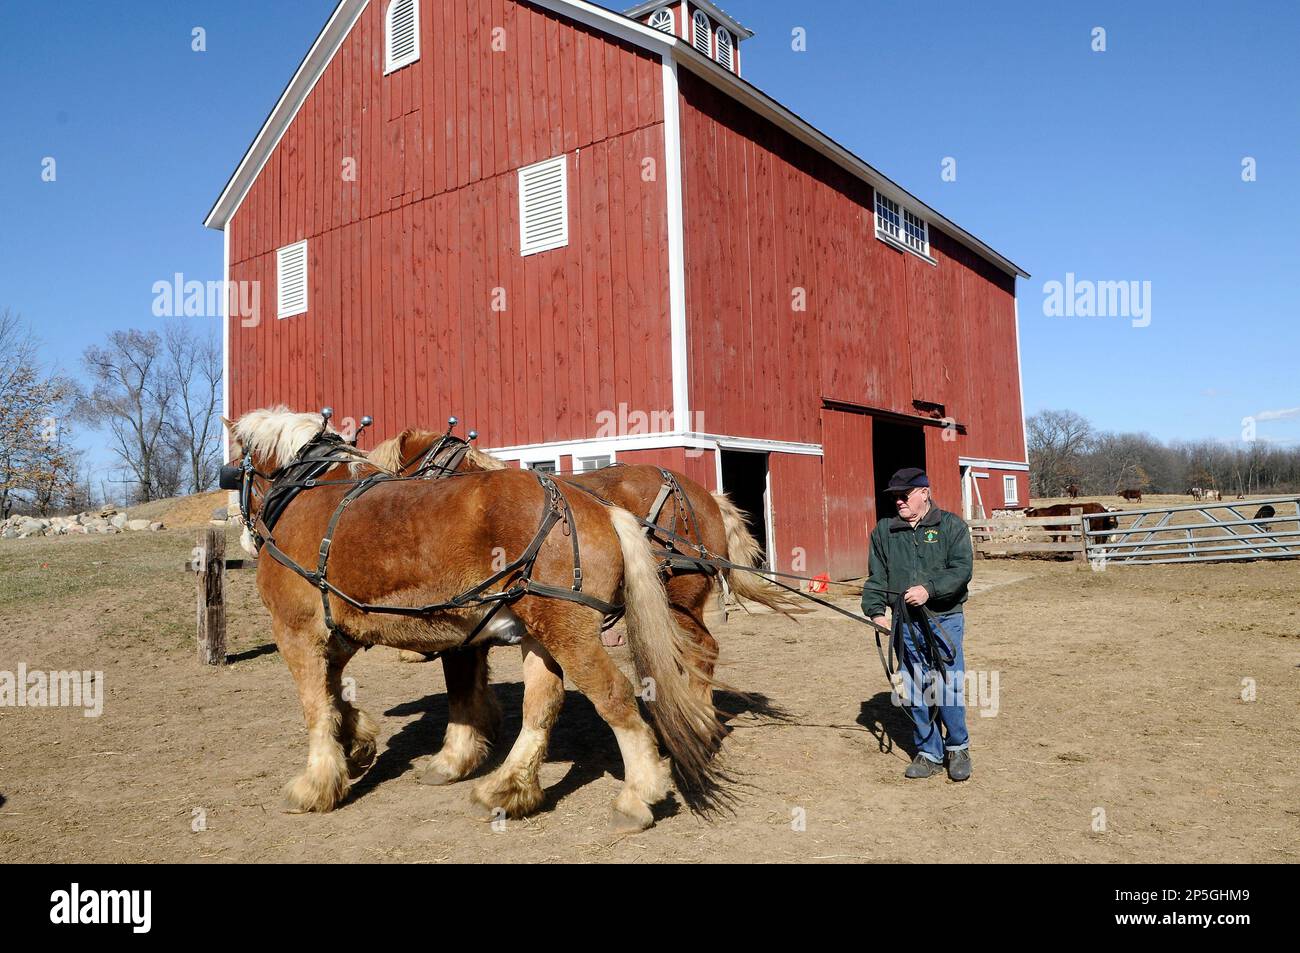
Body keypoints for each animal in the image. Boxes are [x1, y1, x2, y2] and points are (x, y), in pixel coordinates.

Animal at [226, 407, 729, 830]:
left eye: (232, 469)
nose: (246, 540)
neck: (305, 491)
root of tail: (598, 509)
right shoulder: (343, 631)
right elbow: (337, 697)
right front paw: (359, 743)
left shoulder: (297, 631)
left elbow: (318, 706)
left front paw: (316, 784)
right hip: (542, 632)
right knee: (542, 704)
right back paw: (508, 787)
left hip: (579, 630)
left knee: (622, 695)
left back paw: (639, 792)